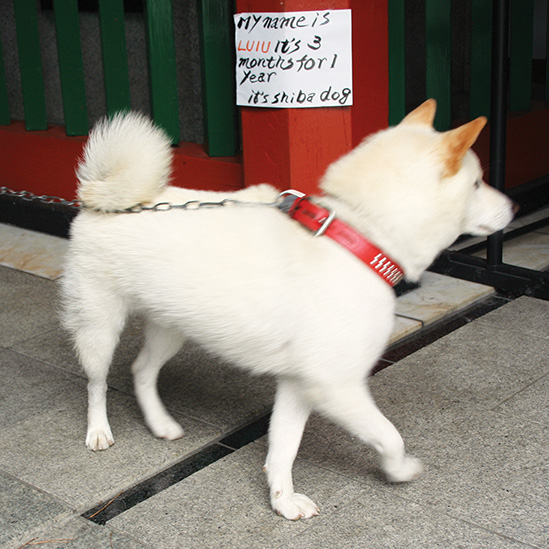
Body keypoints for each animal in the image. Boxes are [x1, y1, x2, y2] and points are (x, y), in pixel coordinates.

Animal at [61, 100, 515, 520]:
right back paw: (98, 430)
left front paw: (282, 500)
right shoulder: (336, 386)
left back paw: (159, 423)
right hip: (100, 326)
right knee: (96, 383)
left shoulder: (299, 384)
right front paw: (399, 470)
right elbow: (388, 435)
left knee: (142, 370)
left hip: (171, 327)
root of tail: (102, 199)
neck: (358, 236)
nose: (512, 206)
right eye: (478, 182)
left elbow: (283, 448)